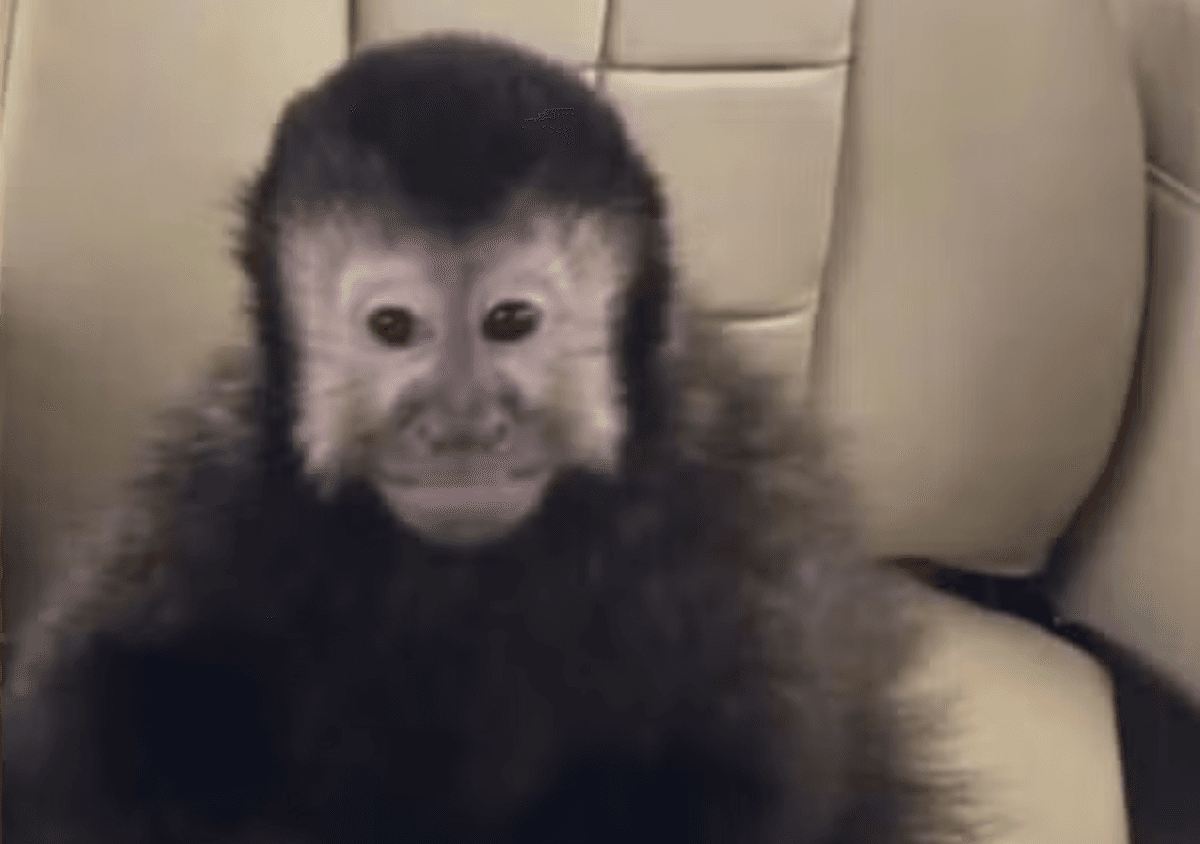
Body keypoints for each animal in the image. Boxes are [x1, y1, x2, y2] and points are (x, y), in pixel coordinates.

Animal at [3, 34, 979, 844]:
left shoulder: (737, 506)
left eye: (510, 321)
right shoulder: (212, 481)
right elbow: (88, 704)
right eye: (394, 328)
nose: (462, 425)